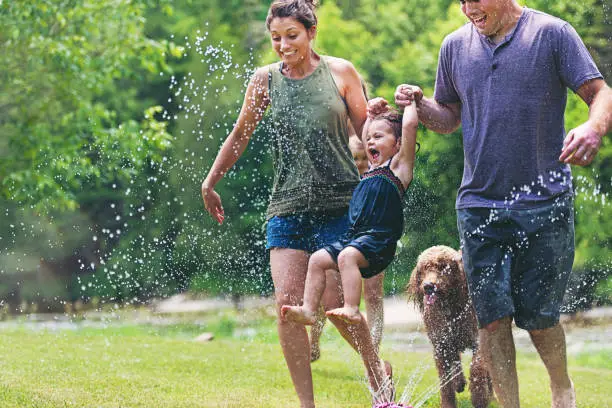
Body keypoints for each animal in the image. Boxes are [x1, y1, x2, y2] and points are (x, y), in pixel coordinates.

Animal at [406, 245, 492, 408]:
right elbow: (445, 381)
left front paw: (479, 397)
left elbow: (477, 366)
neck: (451, 309)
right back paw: (459, 383)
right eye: (424, 268)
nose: (428, 286)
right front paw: (448, 403)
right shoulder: (441, 345)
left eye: (443, 267)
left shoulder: (477, 339)